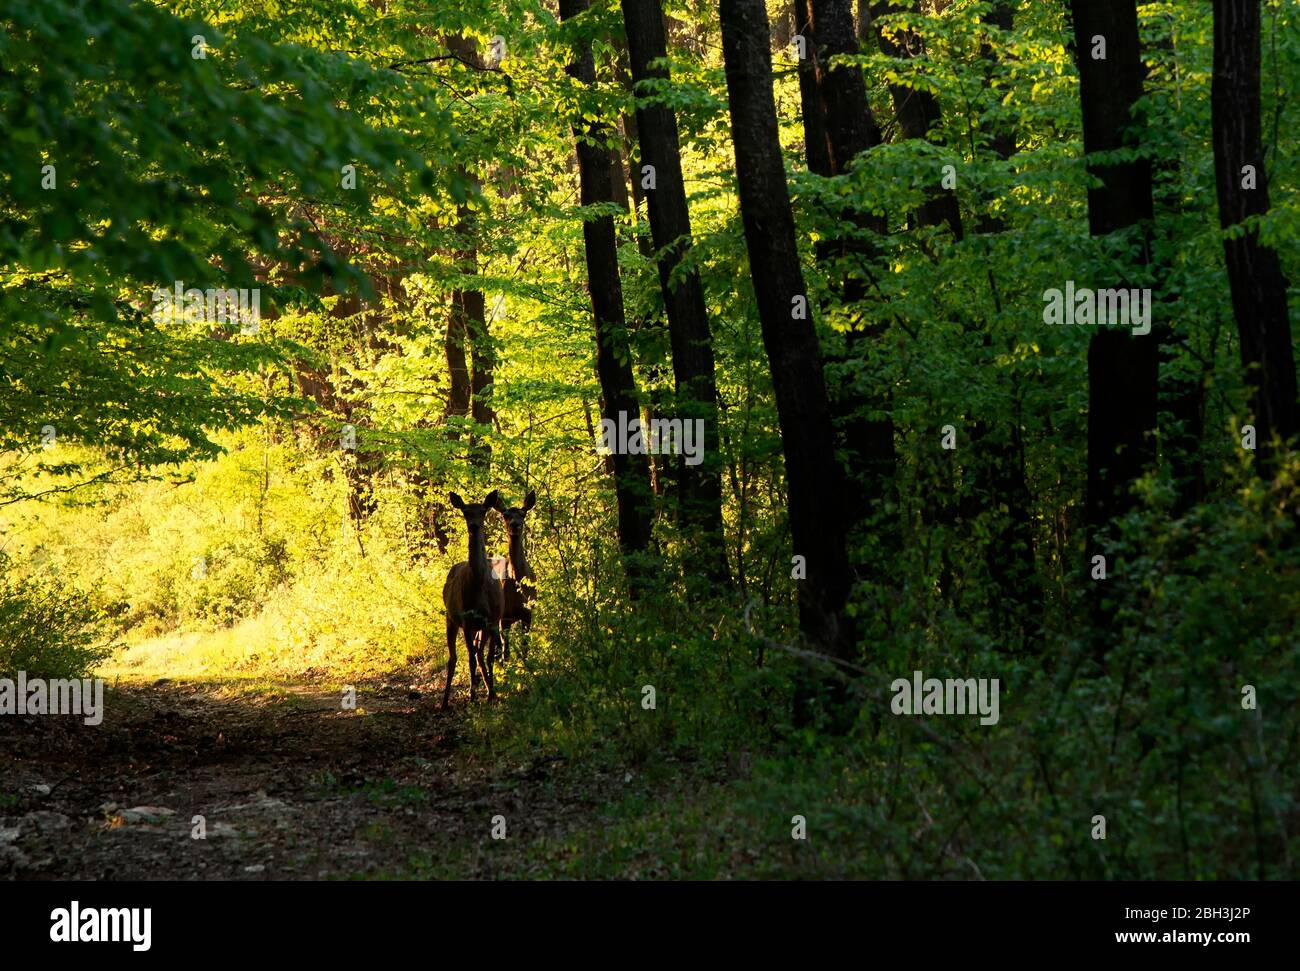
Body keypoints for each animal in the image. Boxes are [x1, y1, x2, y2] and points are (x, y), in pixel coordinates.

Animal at [441, 493, 501, 707]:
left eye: (483, 511)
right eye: (466, 512)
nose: (474, 526)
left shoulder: (493, 620)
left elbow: (489, 657)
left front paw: (491, 694)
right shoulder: (466, 621)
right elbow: (471, 659)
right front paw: (473, 696)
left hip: (479, 627)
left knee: (478, 652)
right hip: (451, 619)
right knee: (454, 658)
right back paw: (445, 701)